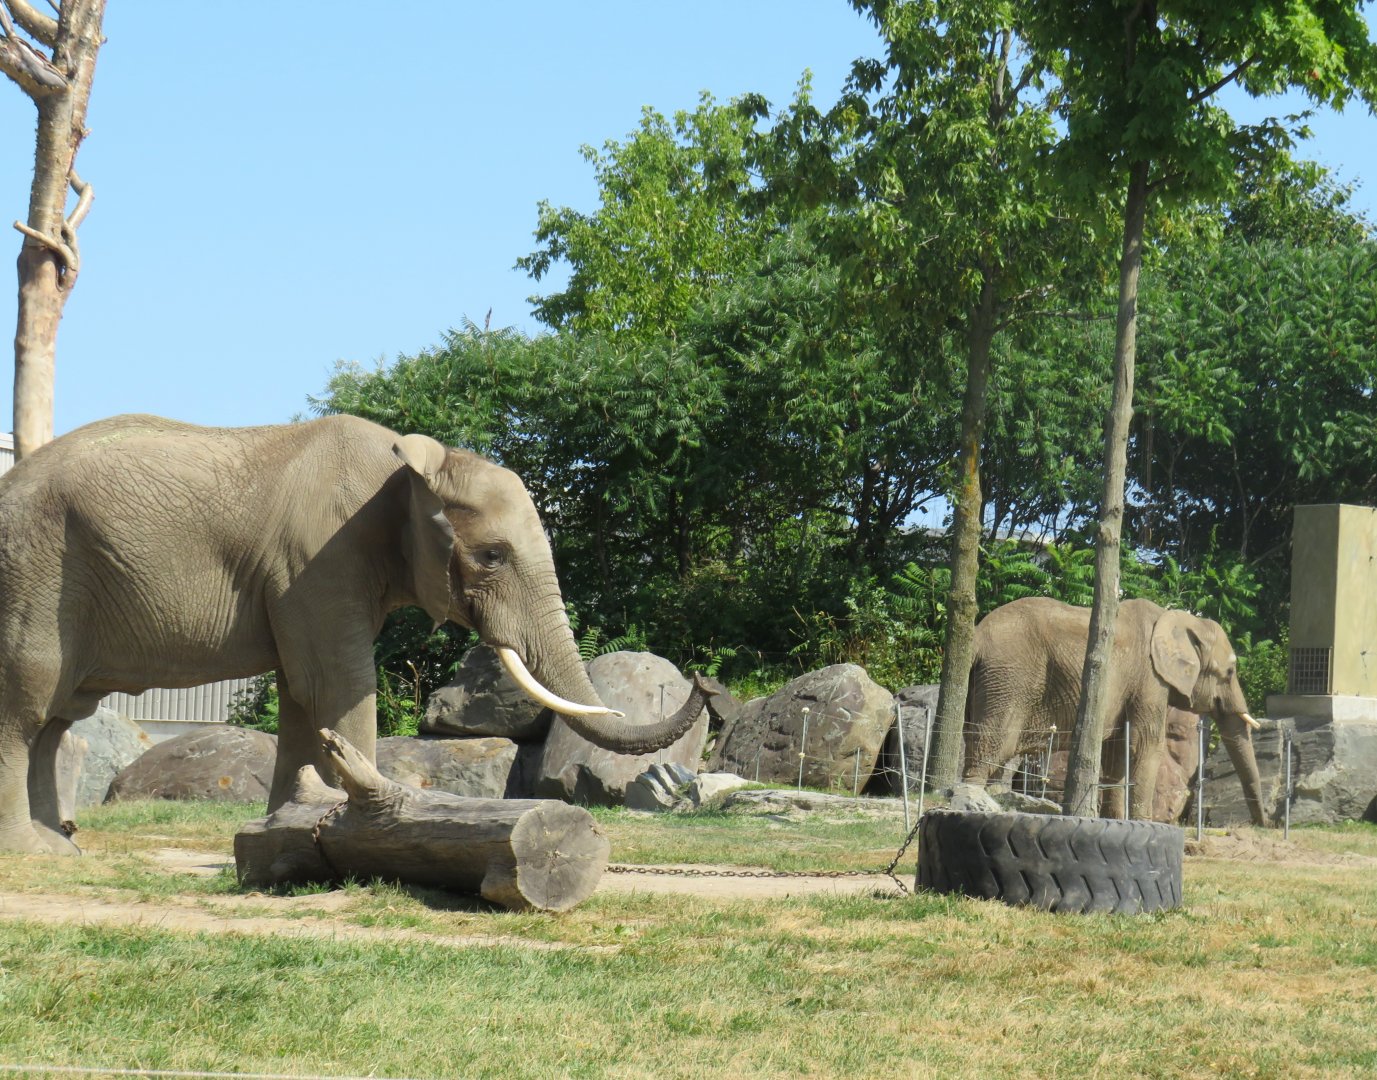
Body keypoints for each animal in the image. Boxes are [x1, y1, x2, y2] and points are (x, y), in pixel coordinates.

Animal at [0, 414, 706, 853]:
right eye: (492, 557)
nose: (704, 680)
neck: (414, 463)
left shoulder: (306, 576)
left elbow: (299, 695)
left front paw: (281, 833)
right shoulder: (318, 559)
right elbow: (339, 684)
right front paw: (363, 847)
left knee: (57, 717)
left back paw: (61, 845)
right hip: (35, 573)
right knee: (28, 703)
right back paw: (37, 854)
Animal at [962, 596, 1267, 825]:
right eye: (1230, 672)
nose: (1260, 824)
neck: (1178, 619)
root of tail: (977, 636)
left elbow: (1118, 750)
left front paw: (1116, 820)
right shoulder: (1150, 678)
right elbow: (1145, 743)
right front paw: (1144, 824)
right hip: (1009, 679)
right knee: (995, 741)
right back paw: (973, 801)